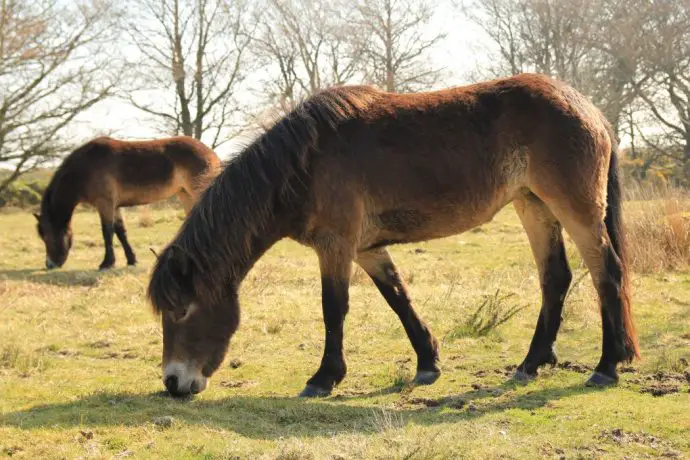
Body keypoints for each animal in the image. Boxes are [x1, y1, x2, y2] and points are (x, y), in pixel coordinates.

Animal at [35, 135, 219, 270]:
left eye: (48, 237)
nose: (49, 264)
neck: (84, 169)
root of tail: (211, 154)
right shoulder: (115, 206)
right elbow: (120, 232)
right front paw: (131, 260)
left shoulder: (105, 203)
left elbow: (107, 232)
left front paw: (107, 263)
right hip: (185, 194)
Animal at [148, 73, 636, 398]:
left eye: (183, 309)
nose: (173, 382)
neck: (305, 162)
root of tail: (587, 107)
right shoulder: (367, 249)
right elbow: (398, 299)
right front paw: (428, 363)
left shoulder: (336, 245)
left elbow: (333, 309)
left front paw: (323, 378)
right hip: (533, 205)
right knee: (556, 278)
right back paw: (532, 363)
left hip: (574, 209)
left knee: (606, 272)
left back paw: (606, 366)